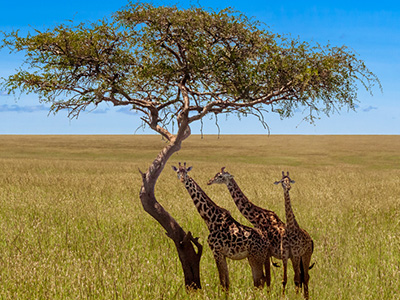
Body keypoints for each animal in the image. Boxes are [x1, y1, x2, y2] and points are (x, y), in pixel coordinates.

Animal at [170, 163, 270, 292]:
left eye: (186, 173)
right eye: (178, 172)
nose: (182, 179)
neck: (210, 219)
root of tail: (267, 243)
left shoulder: (216, 251)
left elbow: (222, 283)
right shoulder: (222, 254)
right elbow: (226, 283)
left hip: (256, 257)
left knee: (259, 282)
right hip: (255, 258)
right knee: (261, 281)